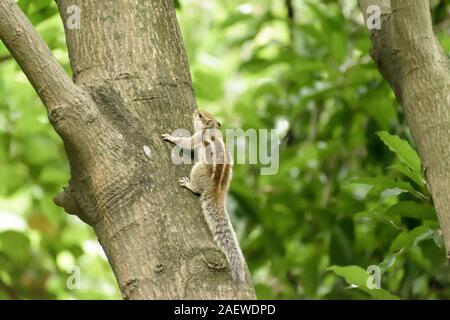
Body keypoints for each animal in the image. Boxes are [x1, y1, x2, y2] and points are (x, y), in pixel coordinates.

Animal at [162, 109, 246, 282]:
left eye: (200, 115)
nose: (195, 111)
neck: (211, 128)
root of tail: (217, 189)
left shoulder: (197, 137)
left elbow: (186, 142)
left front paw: (171, 138)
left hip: (198, 169)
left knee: (197, 189)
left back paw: (189, 185)